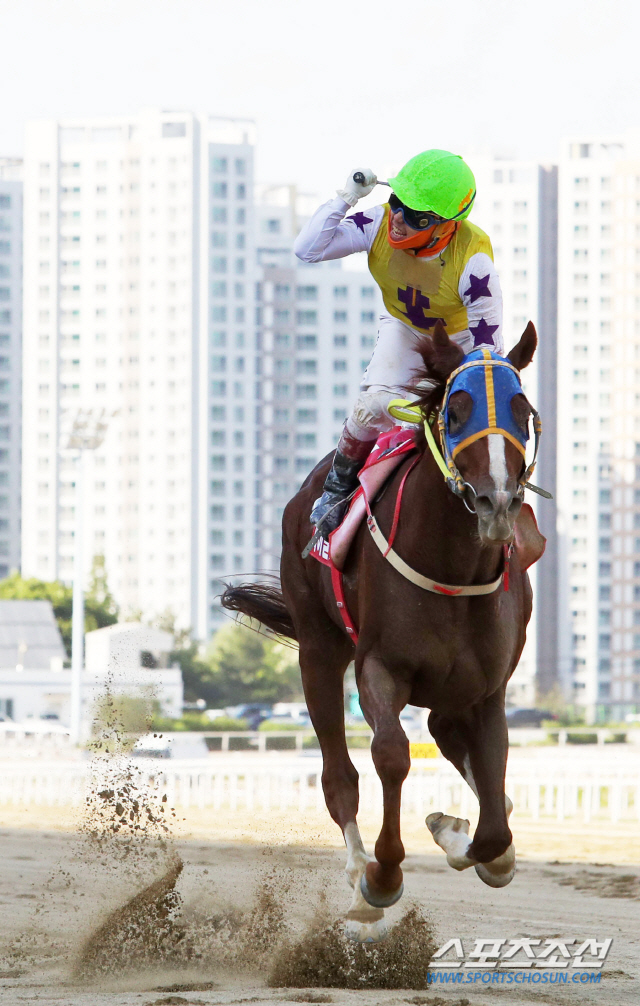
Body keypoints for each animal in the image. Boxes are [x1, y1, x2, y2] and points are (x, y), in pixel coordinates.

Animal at [222, 321, 543, 941]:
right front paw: (383, 874)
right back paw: (359, 888)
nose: (496, 501)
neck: (452, 567)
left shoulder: (488, 688)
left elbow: (495, 810)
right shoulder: (379, 666)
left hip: (450, 686)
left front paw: (458, 834)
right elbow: (391, 755)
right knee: (339, 775)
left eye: (524, 411)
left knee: (448, 737)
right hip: (319, 650)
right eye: (456, 409)